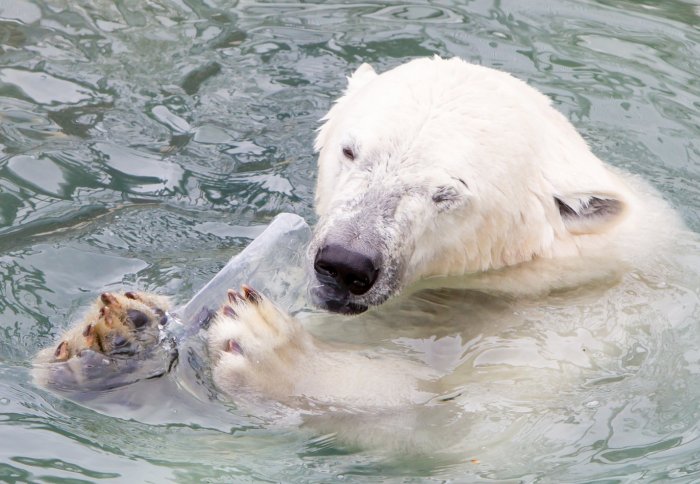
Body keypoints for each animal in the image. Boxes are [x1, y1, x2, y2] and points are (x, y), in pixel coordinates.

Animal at [32, 57, 684, 416]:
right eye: (351, 150)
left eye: (447, 192)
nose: (345, 263)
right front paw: (114, 337)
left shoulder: (568, 338)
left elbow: (453, 424)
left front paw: (274, 351)